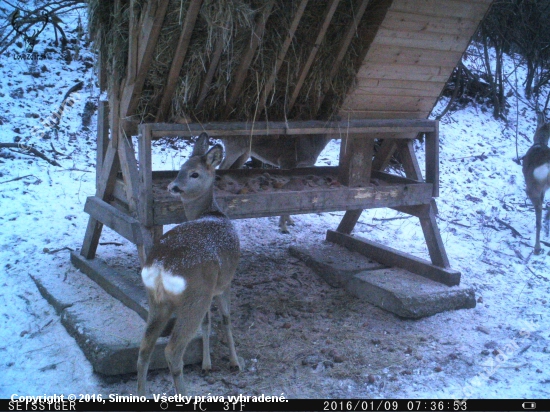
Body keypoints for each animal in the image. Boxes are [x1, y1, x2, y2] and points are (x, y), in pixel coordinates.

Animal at [137, 133, 242, 396]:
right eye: (180, 170)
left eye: (193, 173)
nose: (173, 186)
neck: (212, 213)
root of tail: (160, 266)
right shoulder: (225, 282)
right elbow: (226, 319)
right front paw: (235, 362)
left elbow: (208, 322)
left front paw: (207, 364)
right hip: (194, 296)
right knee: (172, 351)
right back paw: (185, 393)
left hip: (157, 300)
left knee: (144, 348)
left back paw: (141, 393)